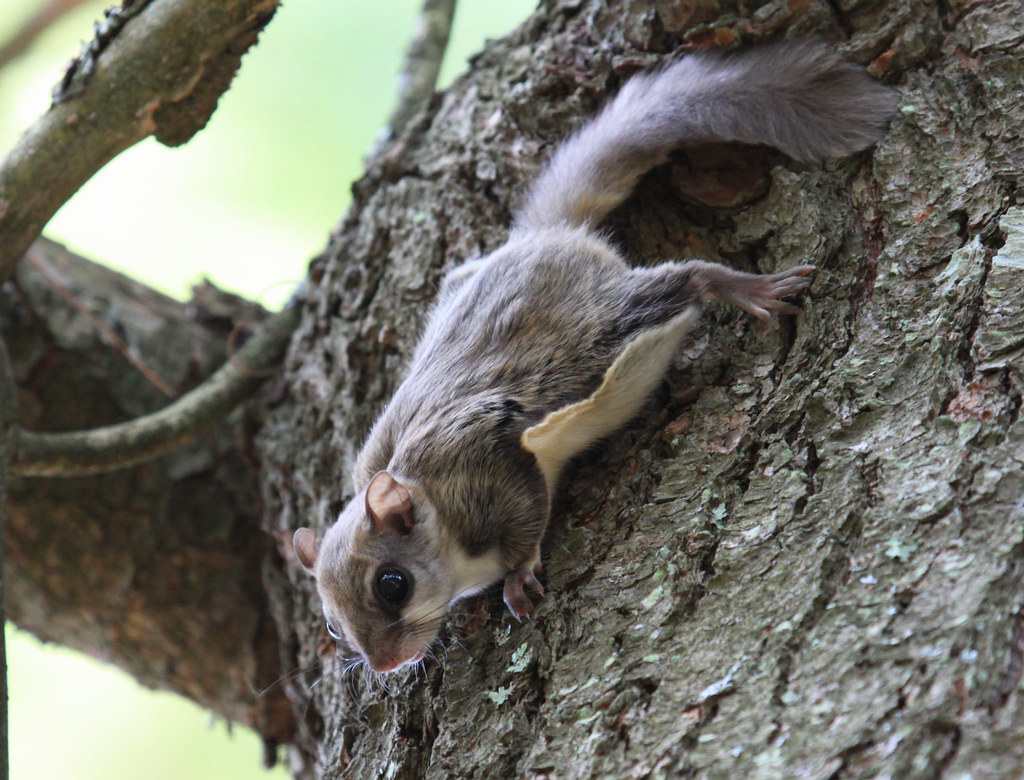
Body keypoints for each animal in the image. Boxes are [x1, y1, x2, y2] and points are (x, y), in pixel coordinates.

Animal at [294, 39, 897, 667]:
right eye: (332, 626)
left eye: (393, 584)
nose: (385, 664)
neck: (427, 495)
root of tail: (544, 237)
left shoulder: (486, 466)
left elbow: (526, 516)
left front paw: (518, 574)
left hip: (612, 325)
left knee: (686, 280)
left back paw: (742, 288)